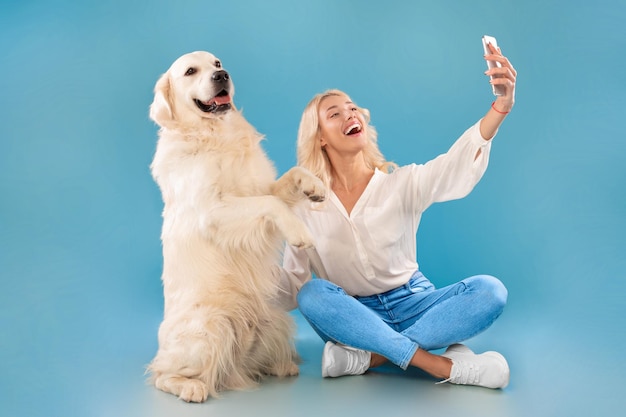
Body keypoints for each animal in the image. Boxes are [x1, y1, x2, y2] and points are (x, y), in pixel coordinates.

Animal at [144, 50, 324, 402]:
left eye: (216, 63)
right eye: (190, 71)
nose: (222, 75)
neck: (215, 134)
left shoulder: (262, 187)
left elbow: (289, 179)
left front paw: (314, 186)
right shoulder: (214, 211)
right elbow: (271, 205)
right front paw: (299, 233)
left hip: (276, 320)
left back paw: (279, 366)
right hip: (210, 327)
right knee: (161, 375)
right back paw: (191, 387)